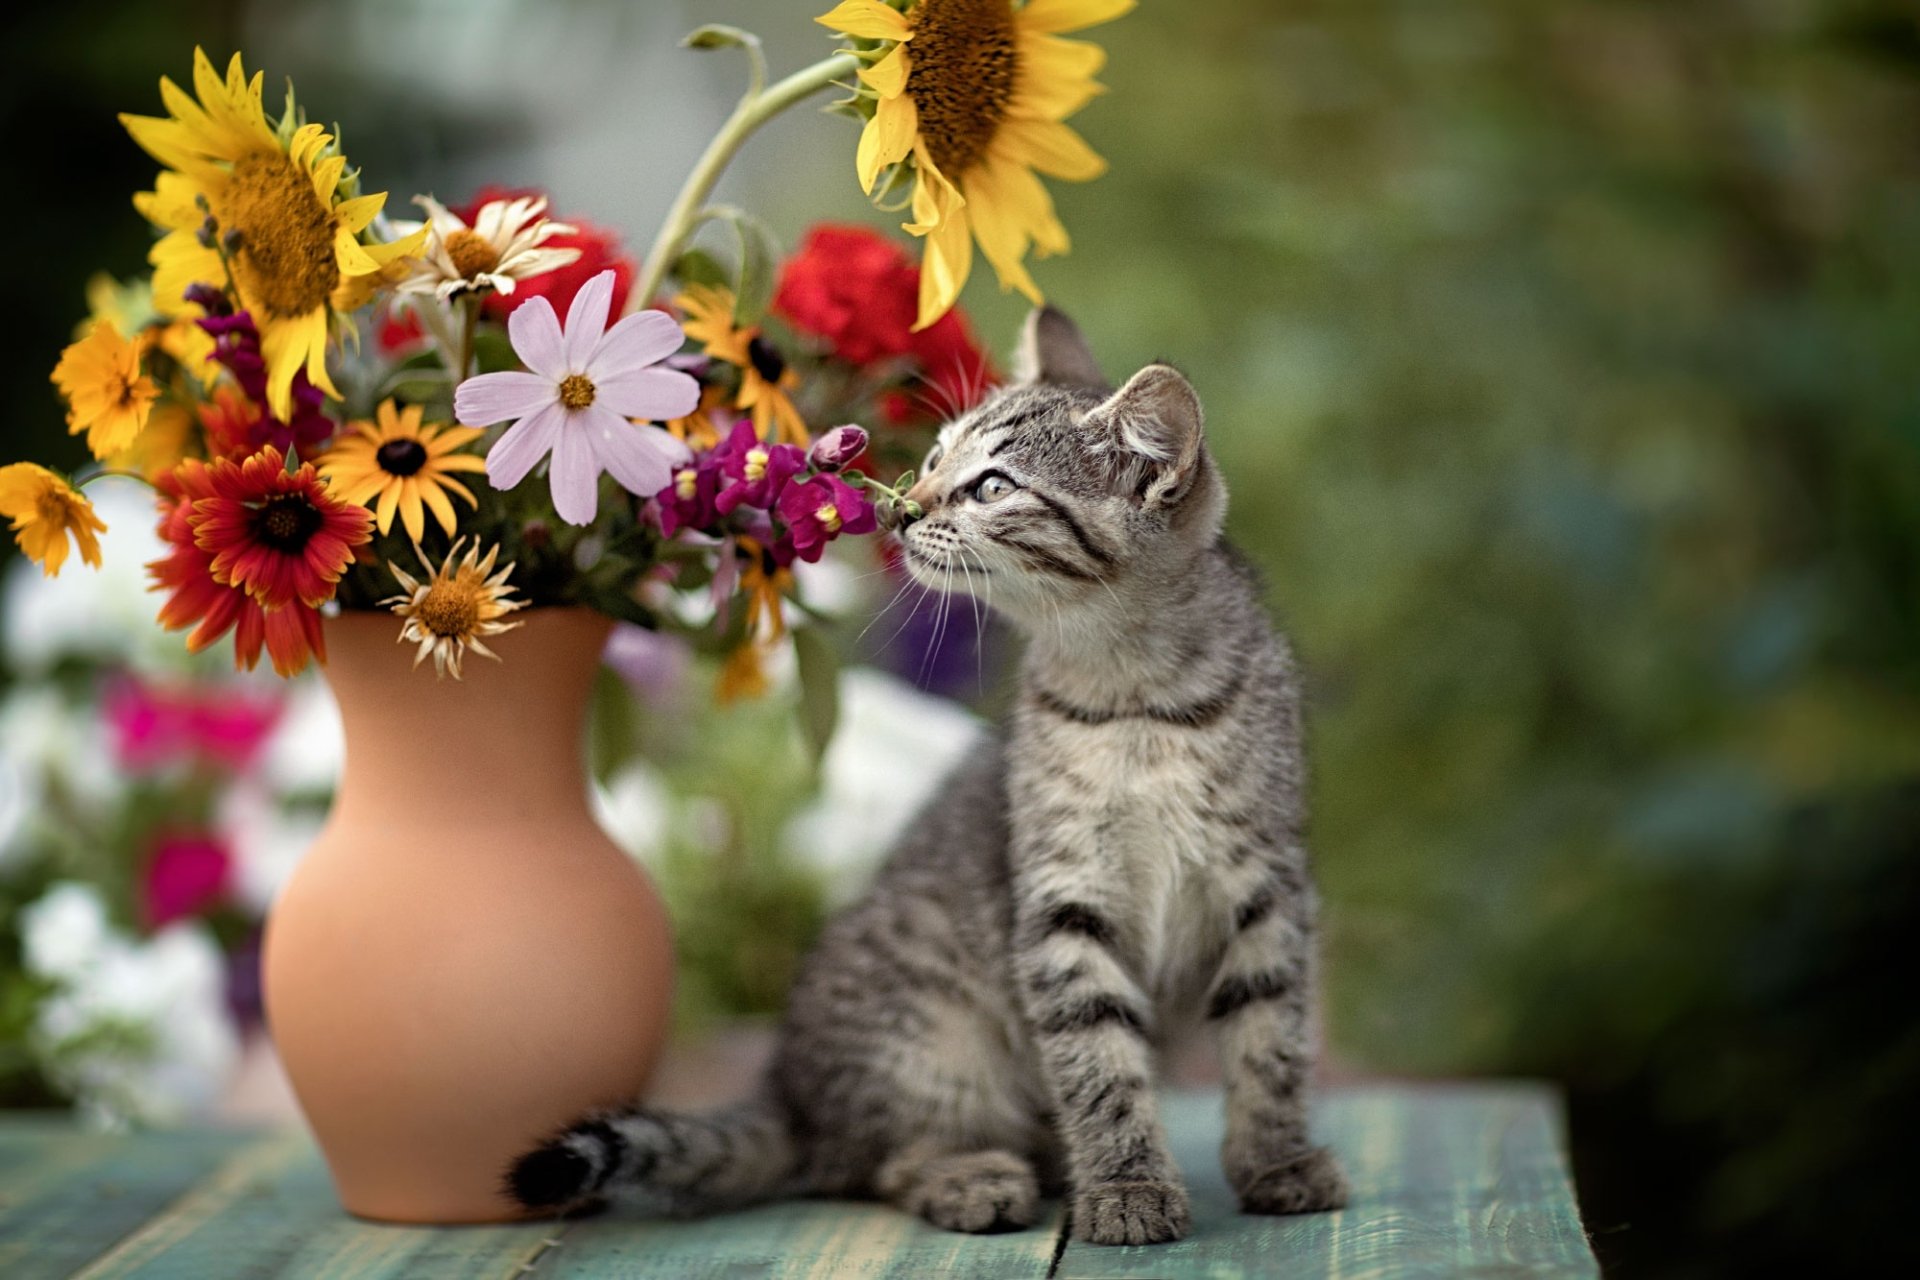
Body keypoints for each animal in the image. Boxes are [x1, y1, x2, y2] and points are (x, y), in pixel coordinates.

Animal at [510, 305, 1351, 1243]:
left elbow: (1272, 1039)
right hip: (933, 1038)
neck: (1135, 697)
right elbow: (1097, 1063)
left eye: (991, 487)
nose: (905, 507)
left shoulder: (1269, 886)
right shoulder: (1062, 902)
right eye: (940, 453)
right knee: (869, 1163)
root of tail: (789, 1092)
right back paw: (970, 1176)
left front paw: (1275, 1161)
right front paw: (1128, 1184)